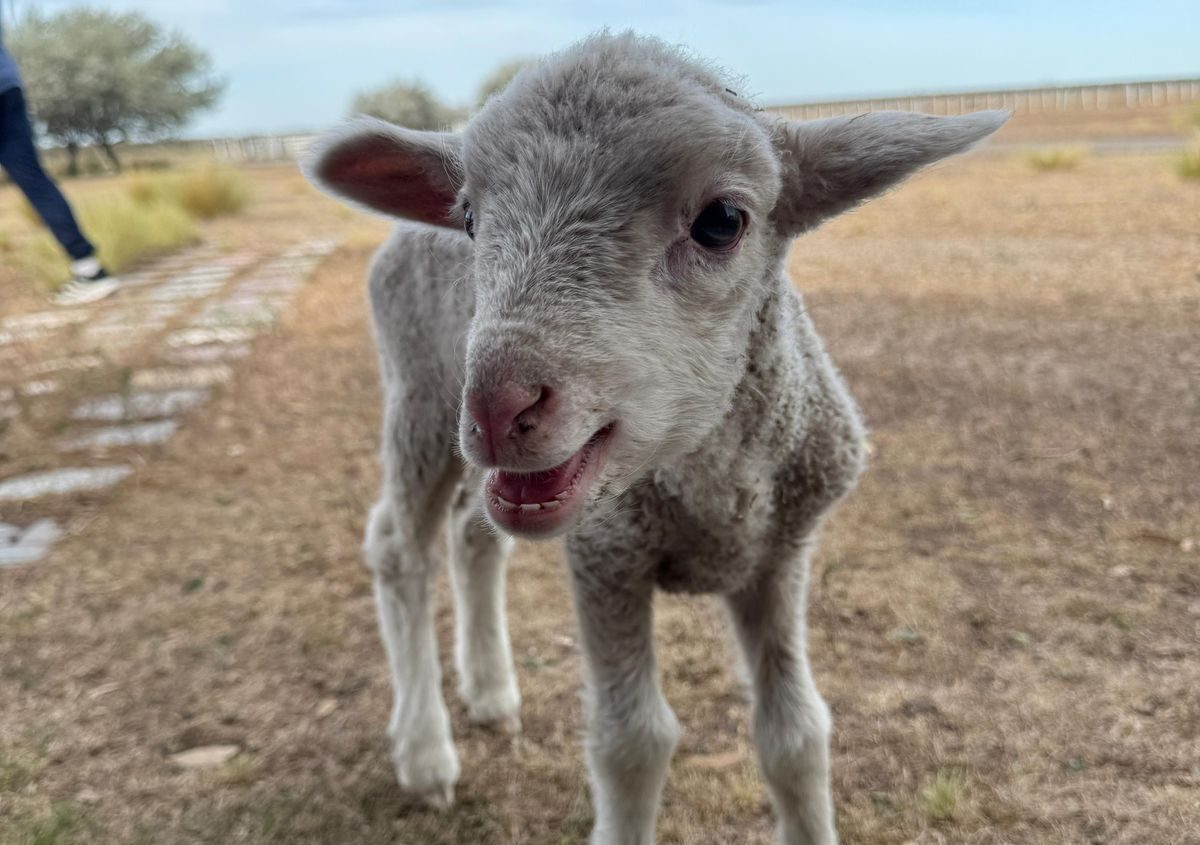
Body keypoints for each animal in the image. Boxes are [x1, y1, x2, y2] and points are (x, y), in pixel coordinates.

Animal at [305, 32, 1005, 845]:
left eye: (723, 221)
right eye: (472, 219)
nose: (497, 407)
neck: (708, 486)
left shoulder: (780, 551)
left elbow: (796, 734)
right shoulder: (607, 555)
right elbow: (632, 743)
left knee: (476, 537)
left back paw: (491, 692)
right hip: (417, 395)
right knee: (400, 549)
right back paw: (425, 754)